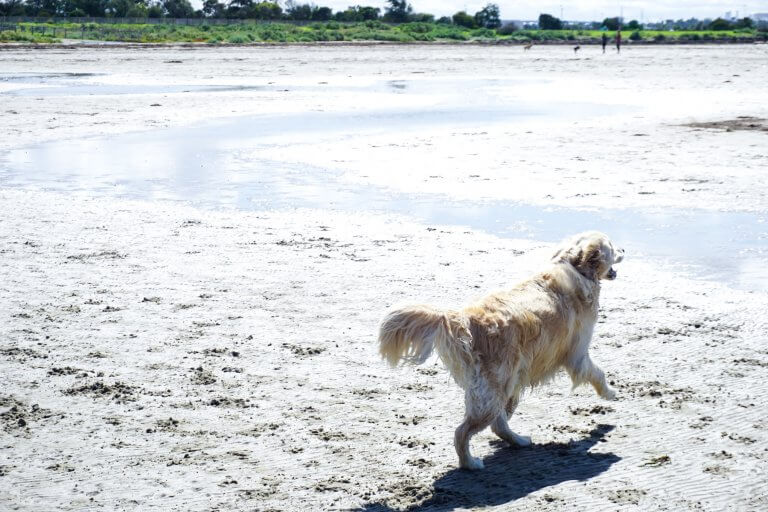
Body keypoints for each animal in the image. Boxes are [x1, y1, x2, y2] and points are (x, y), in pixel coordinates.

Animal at [378, 231, 624, 468]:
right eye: (612, 246)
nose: (624, 249)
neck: (577, 267)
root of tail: (463, 319)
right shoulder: (577, 354)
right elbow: (597, 373)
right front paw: (610, 393)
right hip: (494, 388)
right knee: (463, 431)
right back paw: (470, 463)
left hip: (505, 384)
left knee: (498, 422)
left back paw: (519, 440)